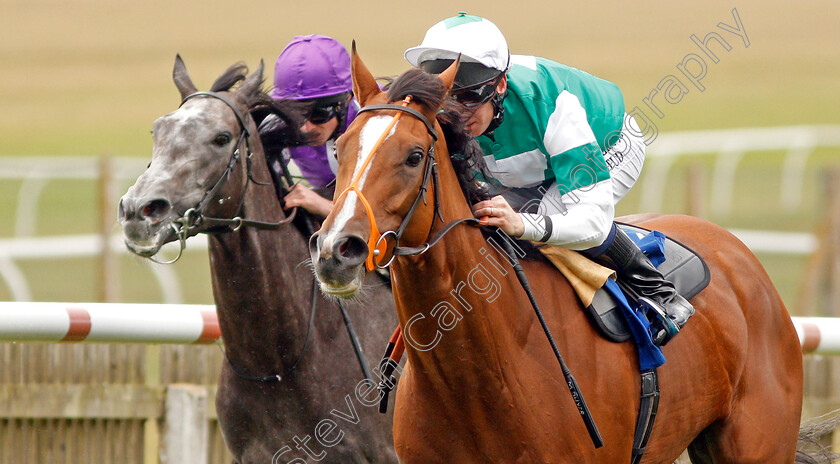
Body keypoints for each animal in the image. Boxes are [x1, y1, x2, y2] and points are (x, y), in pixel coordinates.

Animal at [308, 49, 812, 462]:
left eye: (414, 156)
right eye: (340, 147)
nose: (336, 250)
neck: (478, 376)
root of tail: (738, 253)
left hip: (758, 443)